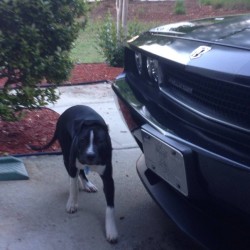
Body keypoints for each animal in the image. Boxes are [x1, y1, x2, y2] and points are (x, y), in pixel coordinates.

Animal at [30, 104, 118, 243]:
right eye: (82, 140)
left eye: (100, 141)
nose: (90, 156)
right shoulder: (72, 164)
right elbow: (73, 187)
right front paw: (72, 203)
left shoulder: (108, 178)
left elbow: (110, 207)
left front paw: (111, 230)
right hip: (66, 155)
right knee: (75, 174)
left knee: (81, 171)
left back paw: (87, 184)